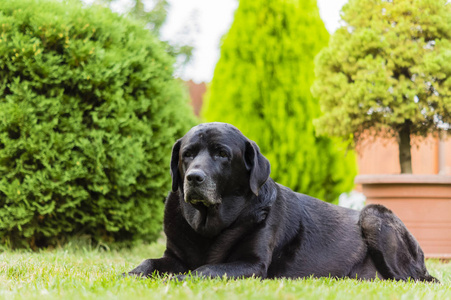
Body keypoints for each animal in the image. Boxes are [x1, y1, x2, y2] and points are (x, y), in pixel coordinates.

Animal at [129, 122, 440, 282]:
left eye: (222, 154)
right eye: (188, 154)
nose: (194, 178)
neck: (210, 226)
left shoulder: (252, 264)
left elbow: (204, 270)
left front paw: (176, 280)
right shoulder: (174, 256)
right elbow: (147, 262)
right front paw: (129, 274)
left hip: (374, 215)